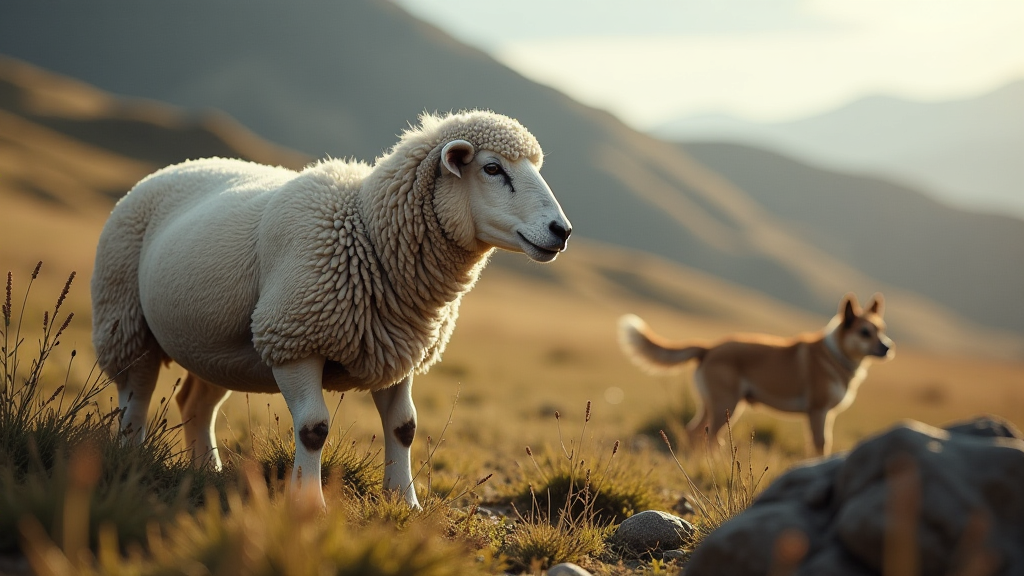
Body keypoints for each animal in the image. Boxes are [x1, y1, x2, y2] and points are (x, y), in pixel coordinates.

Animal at [89, 109, 573, 504]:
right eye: (492, 168)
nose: (562, 230)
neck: (369, 230)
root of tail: (177, 166)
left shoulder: (397, 348)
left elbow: (405, 427)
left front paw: (405, 504)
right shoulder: (292, 338)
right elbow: (314, 429)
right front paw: (308, 505)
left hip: (216, 346)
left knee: (195, 403)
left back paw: (207, 472)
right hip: (125, 320)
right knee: (134, 401)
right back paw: (132, 461)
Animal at [618, 293, 892, 455]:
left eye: (881, 329)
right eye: (865, 332)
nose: (888, 347)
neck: (835, 354)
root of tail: (710, 347)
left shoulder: (828, 417)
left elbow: (825, 443)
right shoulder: (817, 412)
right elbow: (819, 445)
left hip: (711, 405)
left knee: (693, 431)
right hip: (727, 405)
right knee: (709, 437)